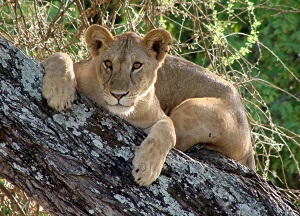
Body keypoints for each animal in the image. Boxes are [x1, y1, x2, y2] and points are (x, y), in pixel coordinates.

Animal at [42, 24, 255, 186]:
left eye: (137, 65)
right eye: (108, 64)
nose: (118, 95)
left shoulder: (159, 117)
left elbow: (167, 131)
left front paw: (146, 169)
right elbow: (60, 55)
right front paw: (59, 93)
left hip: (191, 107)